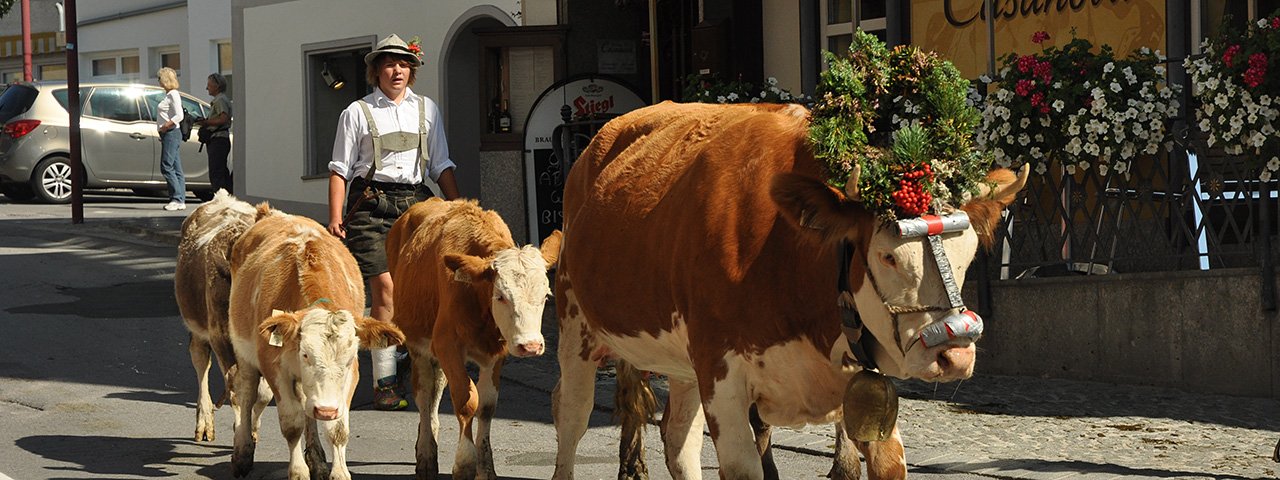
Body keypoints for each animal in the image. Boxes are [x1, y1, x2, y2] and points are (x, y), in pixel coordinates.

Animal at [174, 189, 258, 445]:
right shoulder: (219, 336)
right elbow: (238, 386)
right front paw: (242, 434)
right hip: (199, 327)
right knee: (200, 360)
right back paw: (204, 423)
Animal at [230, 207, 404, 480]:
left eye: (348, 359)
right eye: (305, 355)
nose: (325, 410)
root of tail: (273, 213)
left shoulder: (349, 378)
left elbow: (337, 429)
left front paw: (338, 472)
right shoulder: (274, 368)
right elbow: (292, 424)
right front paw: (299, 471)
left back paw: (318, 460)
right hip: (244, 354)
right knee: (246, 395)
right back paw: (242, 453)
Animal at [384, 197, 565, 478]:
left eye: (546, 295)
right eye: (500, 296)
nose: (531, 345)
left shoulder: (498, 351)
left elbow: (486, 406)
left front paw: (486, 467)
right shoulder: (446, 344)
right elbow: (466, 401)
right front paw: (465, 463)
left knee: (436, 388)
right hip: (418, 343)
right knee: (424, 394)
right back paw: (426, 453)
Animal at [550, 102, 1029, 480]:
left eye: (968, 253)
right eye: (887, 257)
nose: (955, 355)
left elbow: (885, 459)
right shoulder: (721, 373)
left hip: (681, 363)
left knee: (678, 440)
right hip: (576, 327)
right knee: (571, 419)